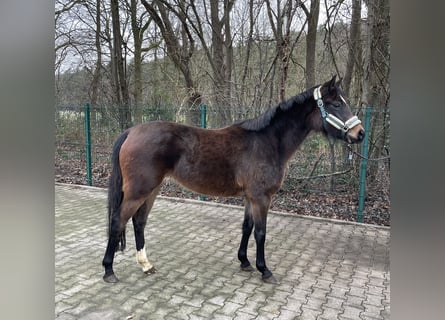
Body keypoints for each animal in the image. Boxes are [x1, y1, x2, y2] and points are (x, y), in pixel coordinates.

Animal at [102, 76, 362, 284]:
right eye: (336, 104)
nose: (359, 133)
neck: (267, 142)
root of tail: (131, 131)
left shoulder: (250, 197)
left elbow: (247, 228)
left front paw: (244, 262)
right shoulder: (261, 198)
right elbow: (261, 233)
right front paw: (264, 270)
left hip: (152, 189)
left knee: (139, 222)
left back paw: (146, 264)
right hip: (138, 191)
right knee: (117, 221)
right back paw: (109, 271)